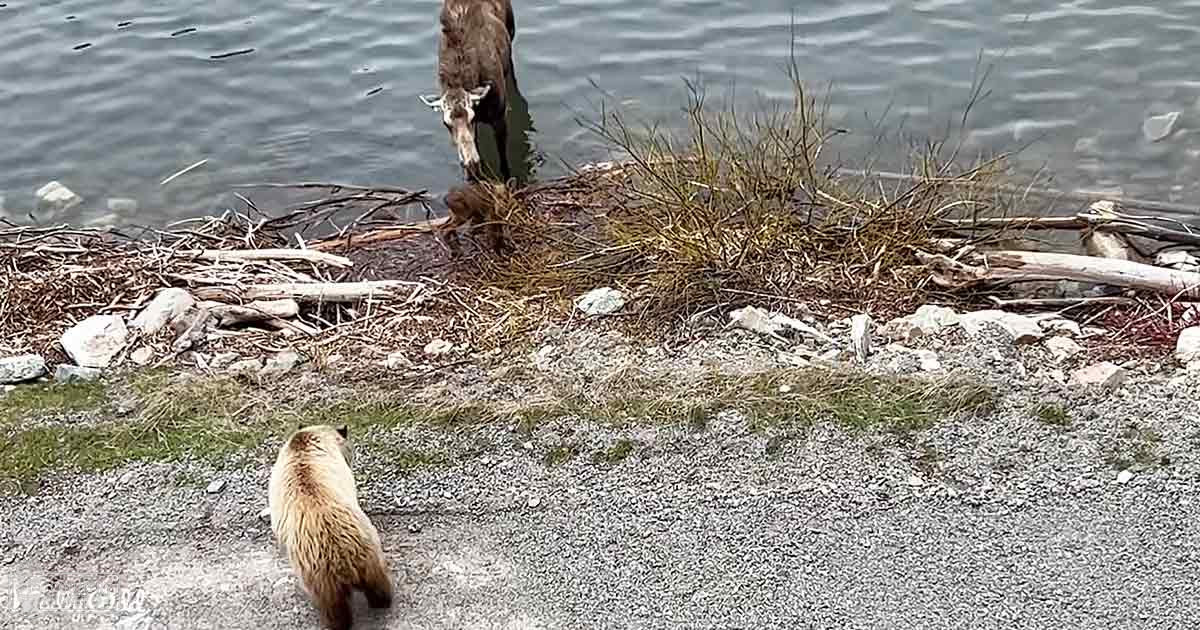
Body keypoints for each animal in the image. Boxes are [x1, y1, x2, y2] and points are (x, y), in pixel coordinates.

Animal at [419, 0, 517, 182]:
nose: (471, 165)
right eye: (446, 123)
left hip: (512, 32)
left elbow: (504, 161)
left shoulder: (499, 117)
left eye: (471, 117)